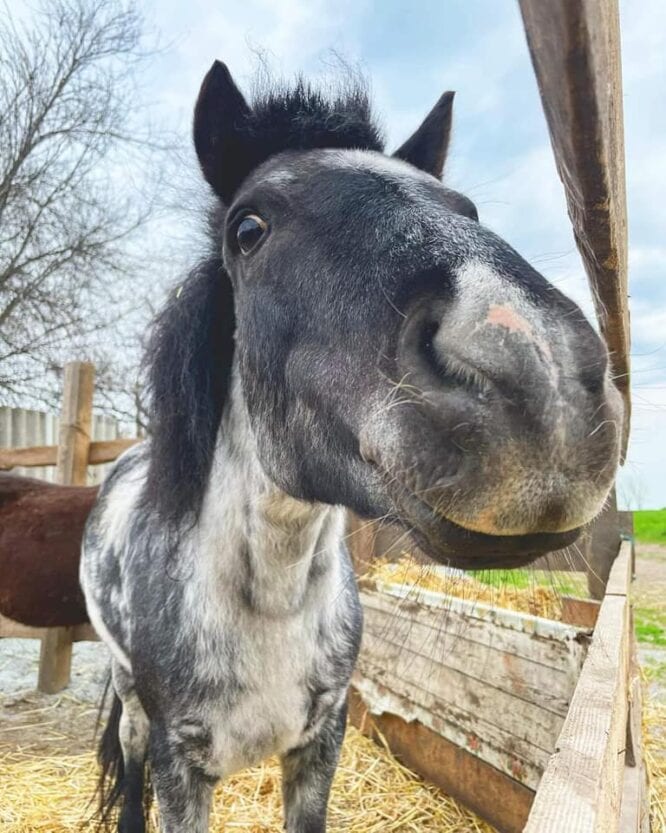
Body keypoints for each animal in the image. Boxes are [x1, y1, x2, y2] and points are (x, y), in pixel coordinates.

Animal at [80, 60, 620, 832]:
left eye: (467, 208)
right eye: (248, 228)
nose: (540, 371)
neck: (270, 604)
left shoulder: (320, 743)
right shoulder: (180, 768)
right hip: (130, 706)